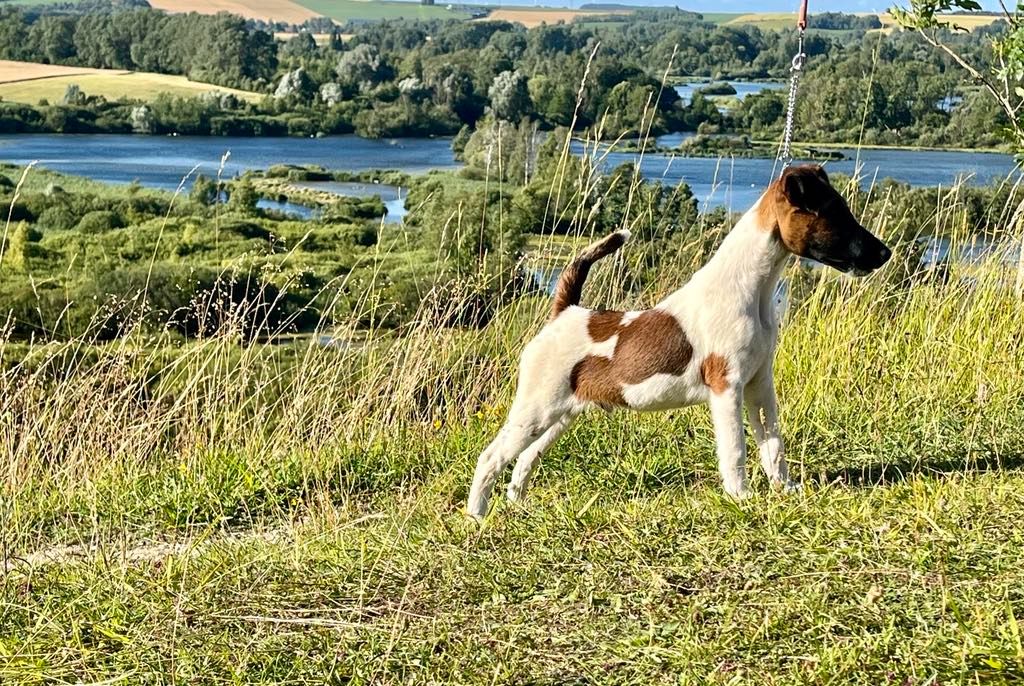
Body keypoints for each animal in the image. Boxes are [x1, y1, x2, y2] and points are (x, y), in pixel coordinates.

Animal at [468, 164, 892, 522]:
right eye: (836, 214)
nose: (885, 253)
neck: (749, 288)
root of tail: (565, 312)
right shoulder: (727, 387)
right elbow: (735, 449)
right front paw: (741, 497)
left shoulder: (760, 385)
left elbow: (772, 444)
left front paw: (784, 488)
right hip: (535, 409)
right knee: (489, 457)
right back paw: (477, 516)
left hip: (561, 415)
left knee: (524, 458)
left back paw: (519, 505)